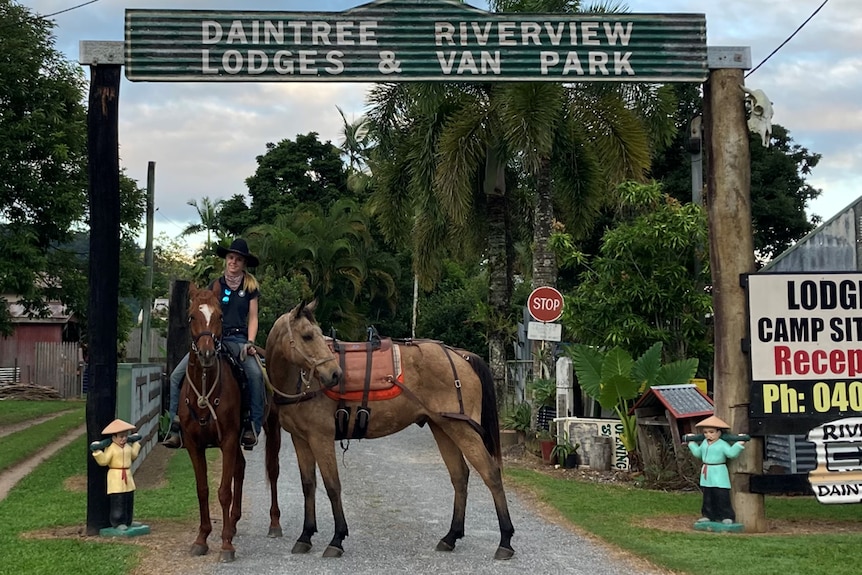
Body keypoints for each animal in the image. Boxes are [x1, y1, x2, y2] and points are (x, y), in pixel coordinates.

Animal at [264, 302, 516, 564]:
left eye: (316, 334)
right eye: (307, 336)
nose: (335, 374)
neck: (301, 382)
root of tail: (460, 356)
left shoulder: (320, 438)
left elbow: (332, 486)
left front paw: (337, 539)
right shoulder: (300, 439)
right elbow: (308, 485)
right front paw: (305, 536)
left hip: (462, 429)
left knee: (491, 474)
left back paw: (505, 540)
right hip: (443, 427)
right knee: (459, 476)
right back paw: (451, 536)